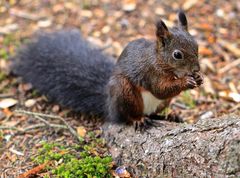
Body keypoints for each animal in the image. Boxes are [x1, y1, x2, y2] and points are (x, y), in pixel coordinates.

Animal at [11, 11, 202, 130]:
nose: (196, 69)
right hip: (124, 91)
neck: (160, 60)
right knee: (127, 116)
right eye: (177, 55)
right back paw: (139, 120)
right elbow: (160, 89)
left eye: (196, 46)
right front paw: (186, 82)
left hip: (159, 104)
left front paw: (199, 79)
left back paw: (170, 116)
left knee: (154, 114)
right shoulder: (150, 73)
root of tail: (109, 106)